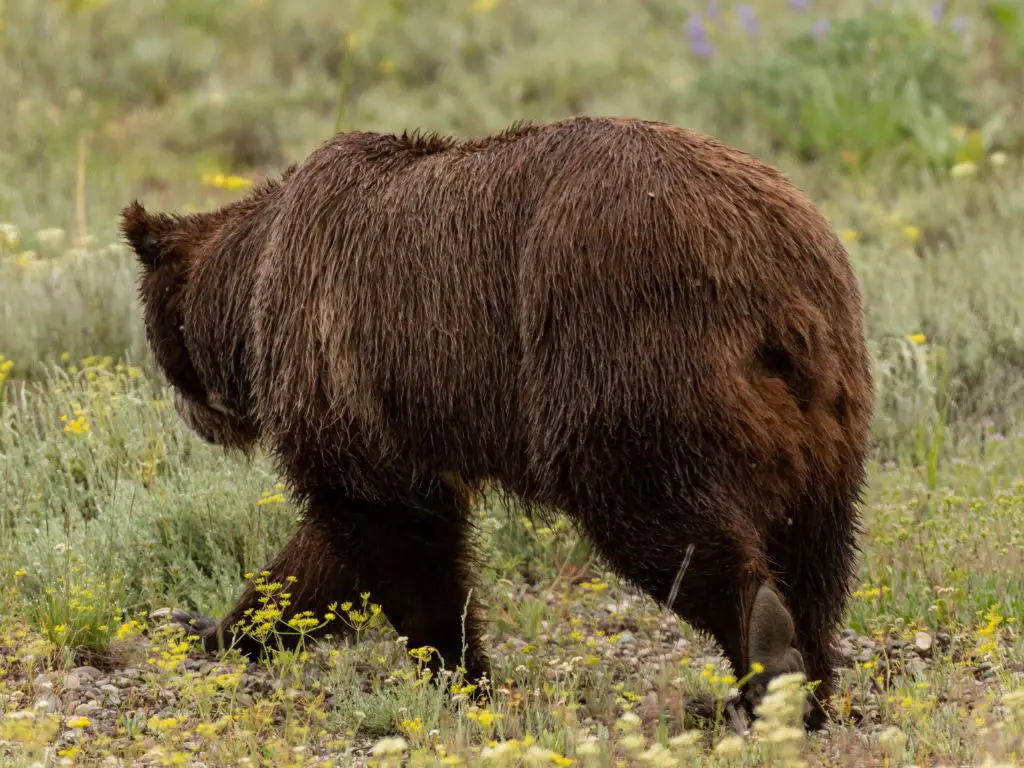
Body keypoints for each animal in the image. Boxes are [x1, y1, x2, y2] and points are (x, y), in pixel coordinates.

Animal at [119, 114, 872, 729]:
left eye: (158, 339)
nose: (192, 417)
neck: (252, 290)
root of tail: (775, 293)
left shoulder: (345, 360)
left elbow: (392, 531)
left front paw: (457, 671)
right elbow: (326, 556)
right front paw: (213, 625)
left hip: (625, 348)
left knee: (664, 519)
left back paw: (765, 661)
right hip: (827, 408)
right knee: (814, 548)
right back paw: (806, 682)